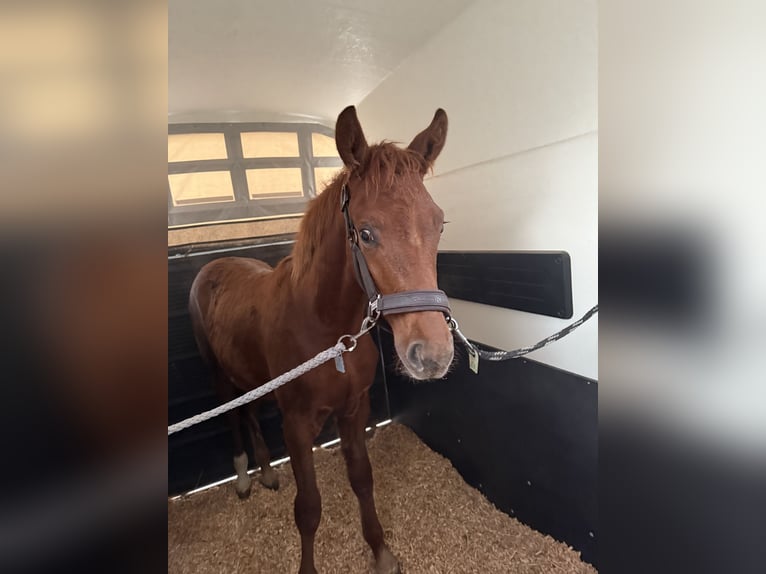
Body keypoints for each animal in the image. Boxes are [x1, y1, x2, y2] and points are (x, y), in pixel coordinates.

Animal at [188, 105, 454, 574]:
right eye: (365, 233)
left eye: (438, 224)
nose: (433, 354)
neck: (328, 331)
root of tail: (214, 266)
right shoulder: (296, 425)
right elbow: (309, 507)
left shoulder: (354, 409)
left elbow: (362, 479)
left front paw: (380, 551)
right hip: (217, 372)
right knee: (233, 415)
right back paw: (243, 478)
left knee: (251, 412)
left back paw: (266, 472)